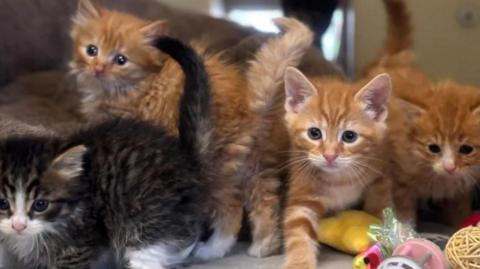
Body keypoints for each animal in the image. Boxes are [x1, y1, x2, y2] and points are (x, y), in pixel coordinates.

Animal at [0, 36, 212, 268]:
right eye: (2, 203)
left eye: (41, 205)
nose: (18, 226)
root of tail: (185, 158)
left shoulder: (80, 242)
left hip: (146, 220)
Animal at [68, 0, 316, 258]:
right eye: (92, 50)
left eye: (120, 60)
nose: (98, 68)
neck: (140, 84)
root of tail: (249, 104)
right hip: (255, 165)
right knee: (265, 202)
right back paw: (264, 247)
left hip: (217, 166)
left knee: (231, 209)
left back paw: (211, 251)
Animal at [280, 69, 392, 268]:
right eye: (314, 133)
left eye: (349, 136)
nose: (330, 155)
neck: (339, 179)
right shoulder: (302, 192)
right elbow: (298, 231)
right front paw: (299, 262)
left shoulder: (379, 176)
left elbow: (379, 207)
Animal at [366, 0, 480, 226]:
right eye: (433, 148)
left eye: (466, 149)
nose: (450, 167)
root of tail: (395, 60)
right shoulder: (399, 177)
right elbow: (403, 210)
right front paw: (406, 230)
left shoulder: (463, 187)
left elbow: (460, 211)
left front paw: (461, 226)